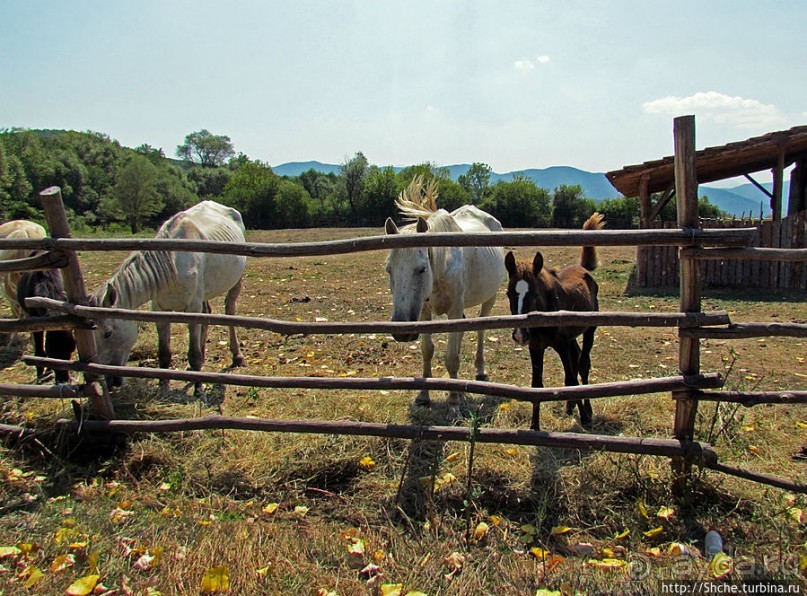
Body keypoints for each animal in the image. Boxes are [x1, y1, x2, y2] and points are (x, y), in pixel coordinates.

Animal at [89, 201, 246, 396]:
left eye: (108, 333)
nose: (109, 381)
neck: (172, 263)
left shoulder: (192, 309)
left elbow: (193, 354)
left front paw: (198, 388)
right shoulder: (160, 310)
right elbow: (164, 352)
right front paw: (163, 384)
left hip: (235, 282)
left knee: (229, 310)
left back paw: (237, 356)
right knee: (207, 314)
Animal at [382, 176, 502, 406]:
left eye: (421, 269)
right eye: (388, 269)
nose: (402, 332)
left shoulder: (454, 309)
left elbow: (451, 358)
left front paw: (453, 397)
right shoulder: (424, 311)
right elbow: (427, 351)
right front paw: (424, 394)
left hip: (489, 298)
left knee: (481, 329)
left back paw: (480, 370)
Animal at [504, 213, 608, 428]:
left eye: (534, 294)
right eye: (509, 293)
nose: (520, 334)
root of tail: (583, 269)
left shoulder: (560, 344)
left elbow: (571, 380)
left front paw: (584, 418)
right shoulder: (536, 347)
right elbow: (537, 385)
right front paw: (534, 427)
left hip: (589, 330)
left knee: (583, 364)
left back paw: (588, 411)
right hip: (571, 337)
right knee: (577, 359)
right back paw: (569, 408)